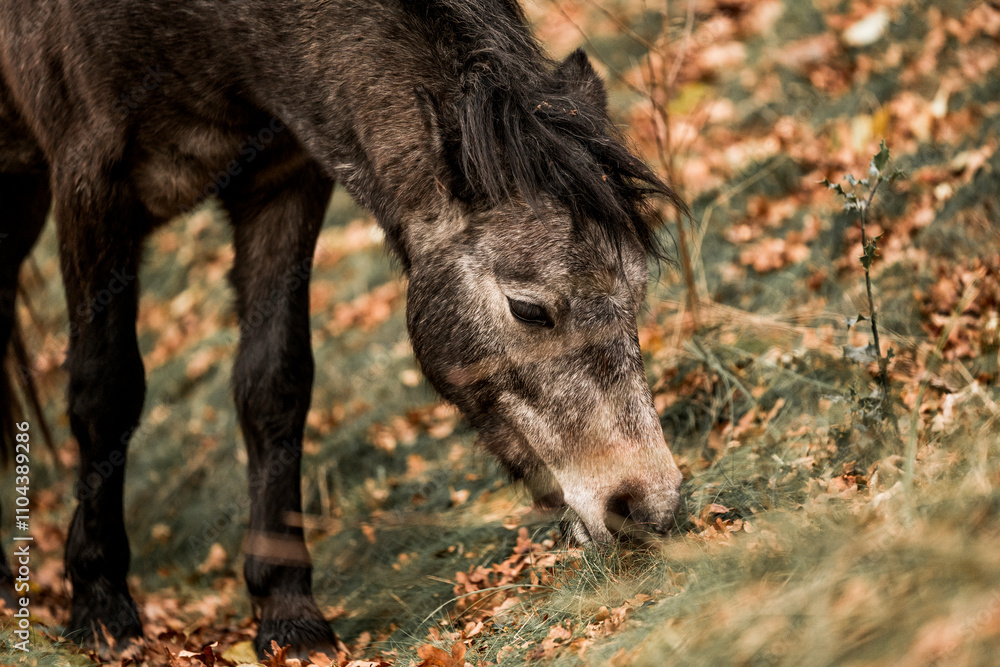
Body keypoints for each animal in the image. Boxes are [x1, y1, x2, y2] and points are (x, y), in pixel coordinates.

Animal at [0, 0, 685, 658]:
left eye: (637, 292)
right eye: (529, 309)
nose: (648, 507)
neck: (205, 32)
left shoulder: (281, 180)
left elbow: (273, 385)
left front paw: (289, 613)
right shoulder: (90, 180)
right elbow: (105, 391)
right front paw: (101, 607)